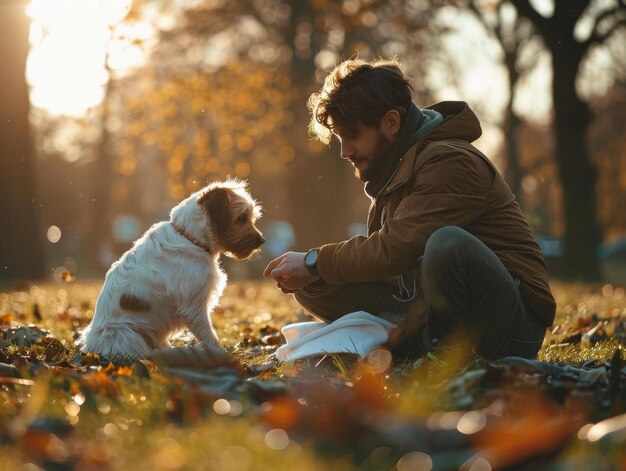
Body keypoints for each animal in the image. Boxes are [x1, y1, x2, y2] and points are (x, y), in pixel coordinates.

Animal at [78, 181, 264, 362]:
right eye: (242, 218)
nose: (262, 240)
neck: (190, 238)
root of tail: (90, 348)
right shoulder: (194, 307)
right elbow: (210, 336)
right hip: (126, 335)